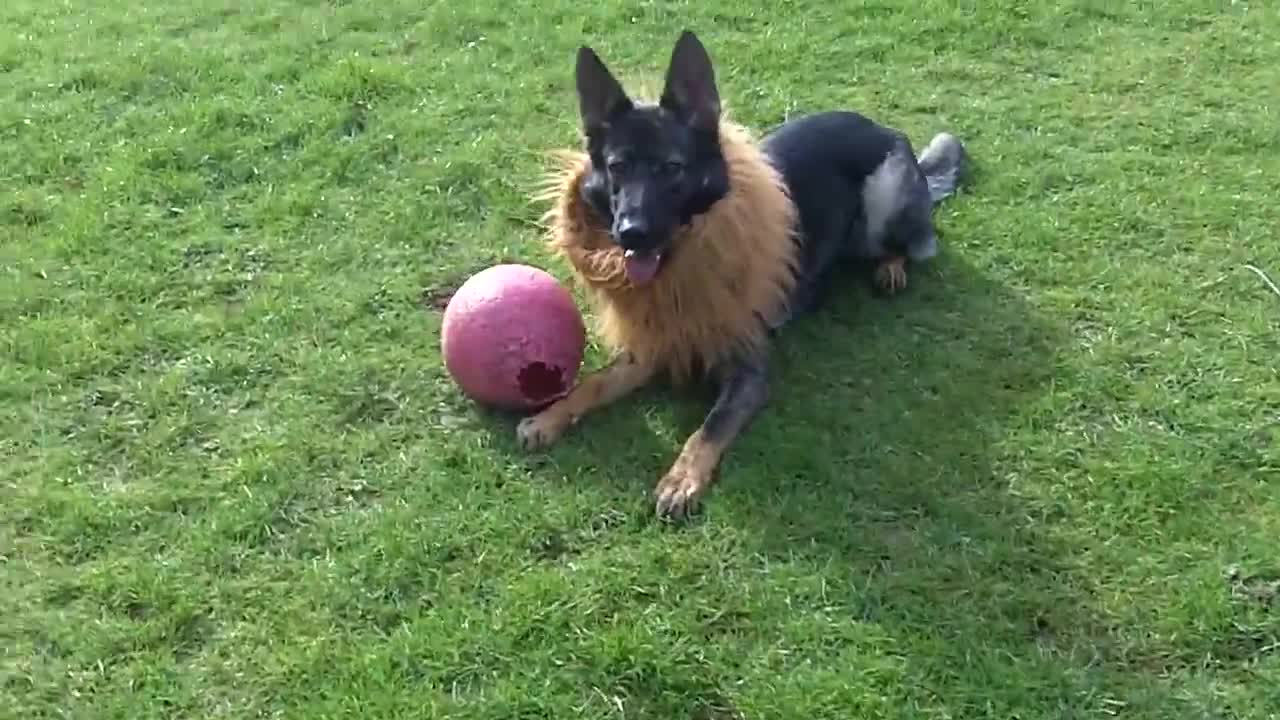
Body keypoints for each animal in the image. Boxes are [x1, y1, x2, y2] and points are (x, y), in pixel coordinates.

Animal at [514, 30, 962, 517]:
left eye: (672, 168)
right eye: (617, 167)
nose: (631, 233)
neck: (688, 262)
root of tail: (889, 133)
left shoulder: (748, 376)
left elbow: (709, 427)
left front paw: (682, 478)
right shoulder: (651, 346)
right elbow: (594, 383)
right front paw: (549, 416)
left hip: (883, 201)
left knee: (915, 242)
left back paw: (891, 269)